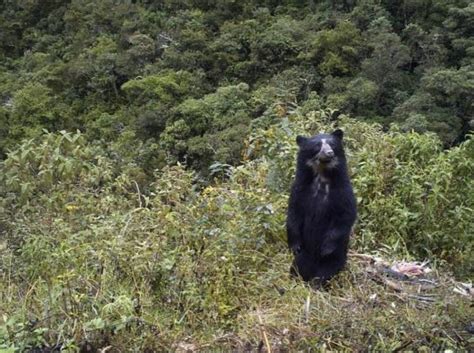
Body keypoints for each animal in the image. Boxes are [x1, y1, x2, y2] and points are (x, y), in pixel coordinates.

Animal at [286, 128, 356, 282]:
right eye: (317, 146)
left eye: (332, 144)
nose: (329, 152)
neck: (321, 175)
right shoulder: (300, 188)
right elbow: (294, 213)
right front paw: (295, 246)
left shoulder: (342, 190)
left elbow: (345, 215)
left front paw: (326, 249)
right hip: (304, 256)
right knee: (297, 265)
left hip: (337, 258)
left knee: (327, 271)